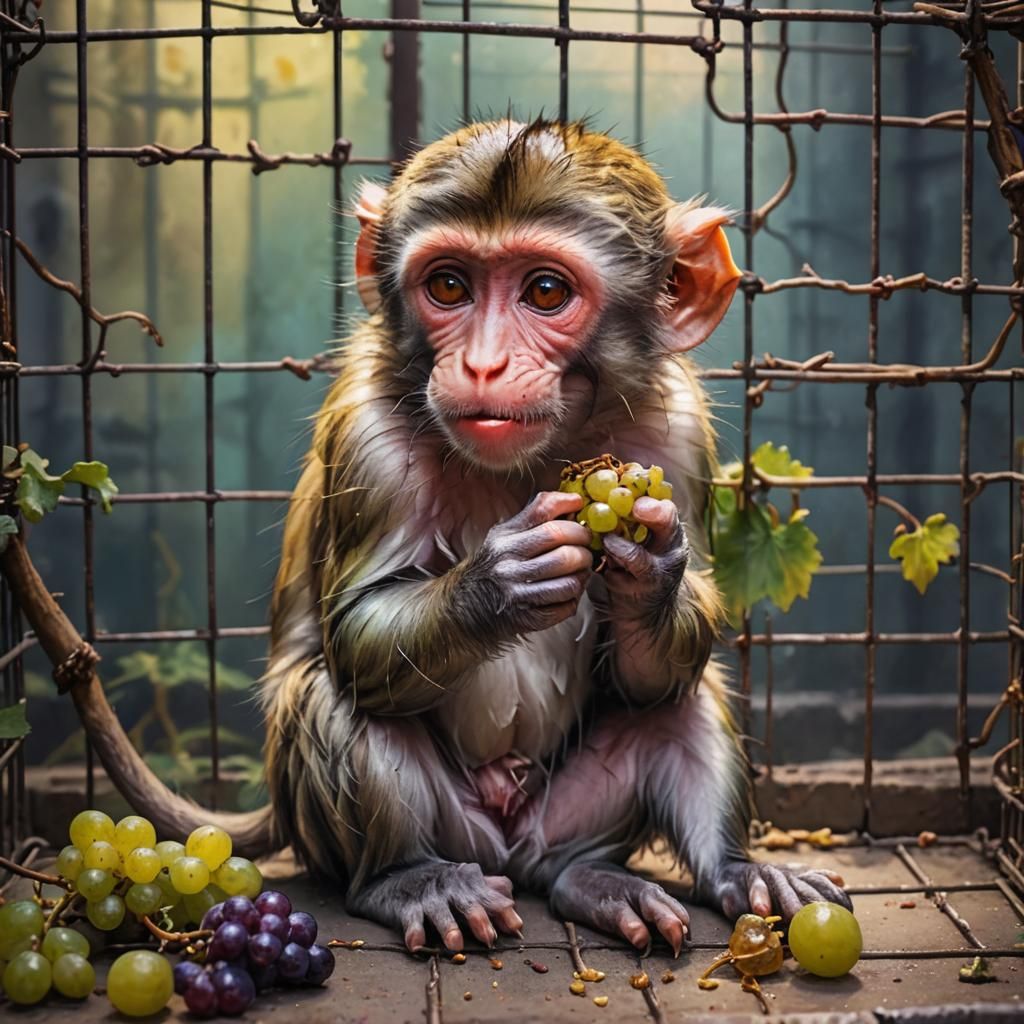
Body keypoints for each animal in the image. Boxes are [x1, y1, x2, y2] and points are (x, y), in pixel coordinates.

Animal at [50, 118, 850, 955]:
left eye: (545, 291)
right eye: (448, 288)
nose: (483, 363)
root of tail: (509, 848)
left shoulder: (676, 432)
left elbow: (653, 676)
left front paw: (651, 575)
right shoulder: (367, 436)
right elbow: (356, 637)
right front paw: (499, 584)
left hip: (566, 816)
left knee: (676, 707)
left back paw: (657, 875)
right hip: (442, 830)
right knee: (334, 700)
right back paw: (410, 880)